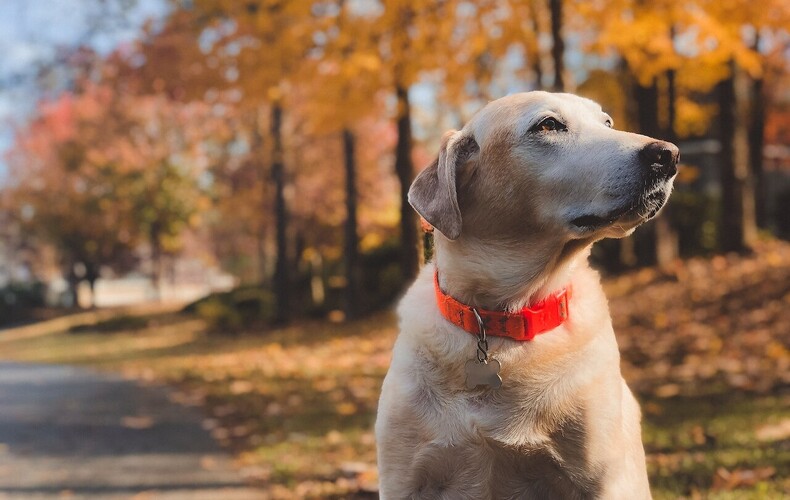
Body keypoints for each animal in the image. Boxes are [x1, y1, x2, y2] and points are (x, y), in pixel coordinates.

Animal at [376, 92, 680, 498]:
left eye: (607, 123)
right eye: (548, 125)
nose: (669, 155)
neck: (503, 318)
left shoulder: (602, 478)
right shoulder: (404, 478)